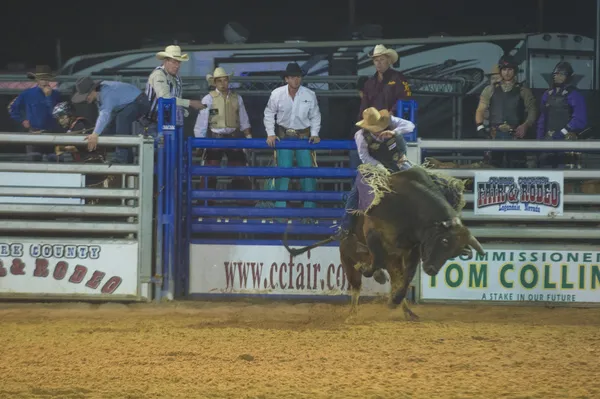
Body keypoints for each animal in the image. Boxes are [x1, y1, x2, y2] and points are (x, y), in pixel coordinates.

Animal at [284, 163, 486, 322]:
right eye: (444, 240)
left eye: (455, 252)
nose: (431, 270)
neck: (410, 209)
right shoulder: (373, 234)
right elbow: (376, 261)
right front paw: (368, 270)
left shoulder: (413, 249)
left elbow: (407, 277)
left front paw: (394, 301)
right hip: (347, 258)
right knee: (356, 286)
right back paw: (353, 312)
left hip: (393, 261)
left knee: (395, 279)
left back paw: (406, 310)